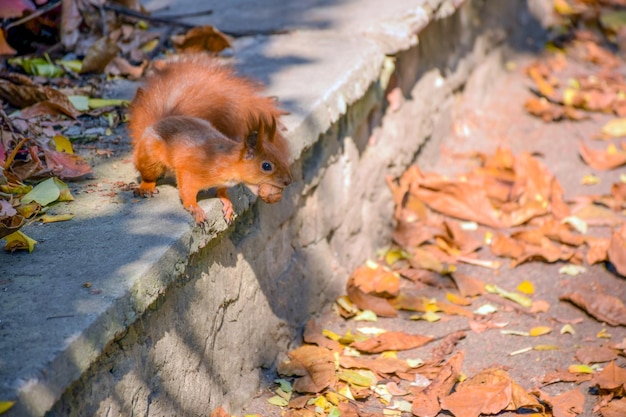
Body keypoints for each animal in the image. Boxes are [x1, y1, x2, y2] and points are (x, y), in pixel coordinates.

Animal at [129, 55, 292, 226]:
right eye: (266, 166)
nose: (288, 181)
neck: (226, 161)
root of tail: (154, 125)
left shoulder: (223, 182)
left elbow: (221, 191)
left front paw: (227, 204)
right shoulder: (190, 170)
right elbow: (186, 191)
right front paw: (195, 209)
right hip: (151, 157)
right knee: (148, 174)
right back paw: (146, 187)